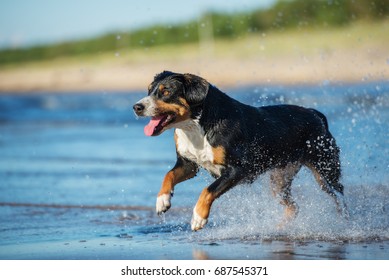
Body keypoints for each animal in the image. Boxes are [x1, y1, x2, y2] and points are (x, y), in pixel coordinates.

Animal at [132, 71, 348, 231]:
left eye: (166, 91)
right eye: (149, 90)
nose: (137, 107)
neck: (195, 127)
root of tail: (315, 114)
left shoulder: (238, 169)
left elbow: (208, 190)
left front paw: (198, 217)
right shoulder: (189, 165)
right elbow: (168, 175)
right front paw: (162, 200)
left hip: (325, 171)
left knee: (340, 200)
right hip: (279, 181)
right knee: (293, 208)